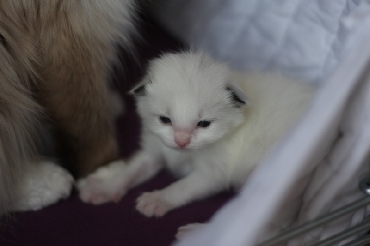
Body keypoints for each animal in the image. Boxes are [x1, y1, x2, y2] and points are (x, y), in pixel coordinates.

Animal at [77, 51, 316, 219]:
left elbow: (183, 187)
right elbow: (132, 171)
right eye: (165, 119)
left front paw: (157, 199)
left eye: (204, 124)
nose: (182, 141)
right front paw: (105, 188)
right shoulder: (155, 148)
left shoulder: (214, 172)